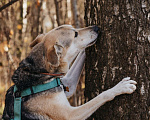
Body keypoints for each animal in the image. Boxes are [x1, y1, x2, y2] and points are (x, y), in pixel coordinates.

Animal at [2, 24, 137, 119]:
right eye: (75, 34)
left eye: (75, 28)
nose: (97, 27)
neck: (39, 72)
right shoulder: (70, 115)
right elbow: (101, 96)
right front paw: (121, 87)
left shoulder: (67, 84)